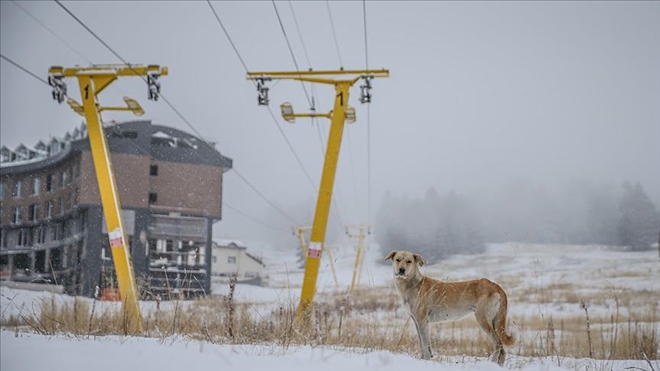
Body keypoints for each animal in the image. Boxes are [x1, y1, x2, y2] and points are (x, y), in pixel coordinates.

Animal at [386, 250, 516, 366]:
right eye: (398, 260)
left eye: (409, 261)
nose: (401, 270)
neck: (412, 284)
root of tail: (496, 286)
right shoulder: (416, 321)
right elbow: (422, 343)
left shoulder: (422, 321)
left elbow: (425, 344)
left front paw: (426, 360)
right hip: (495, 322)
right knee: (502, 348)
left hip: (483, 319)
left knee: (497, 344)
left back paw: (491, 364)